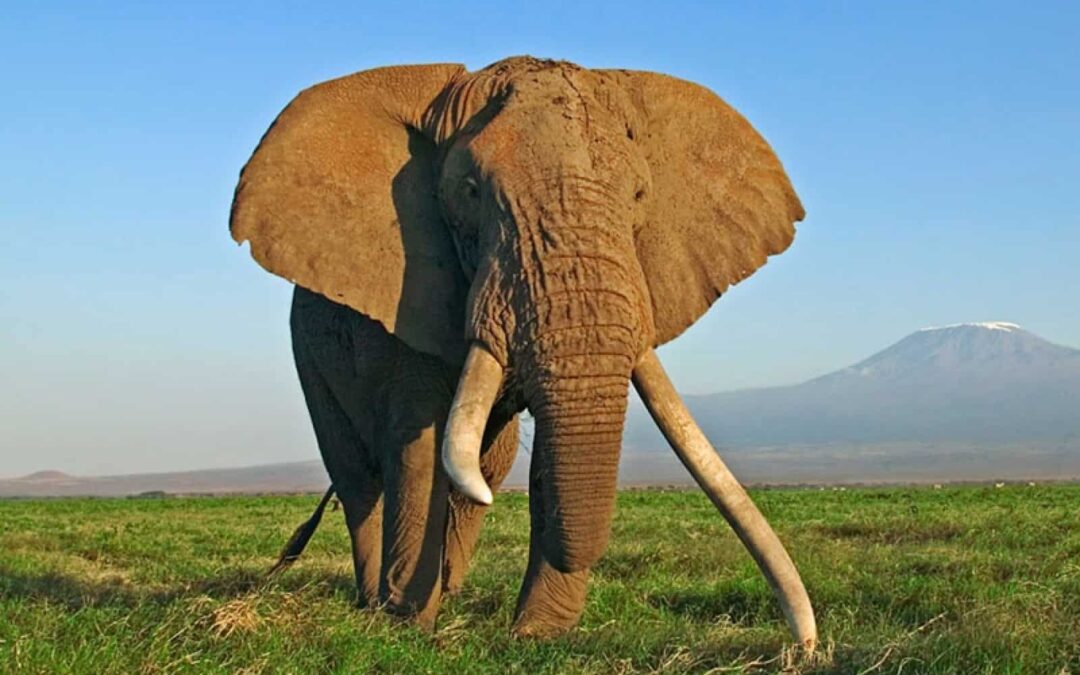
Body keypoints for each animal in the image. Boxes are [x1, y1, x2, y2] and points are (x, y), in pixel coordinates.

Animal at [230, 56, 816, 648]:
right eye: (470, 192)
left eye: (638, 197)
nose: (805, 646)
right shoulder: (412, 291)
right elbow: (419, 448)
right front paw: (409, 628)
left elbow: (540, 464)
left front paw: (537, 634)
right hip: (308, 353)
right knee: (359, 479)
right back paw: (375, 602)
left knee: (486, 466)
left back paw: (447, 590)